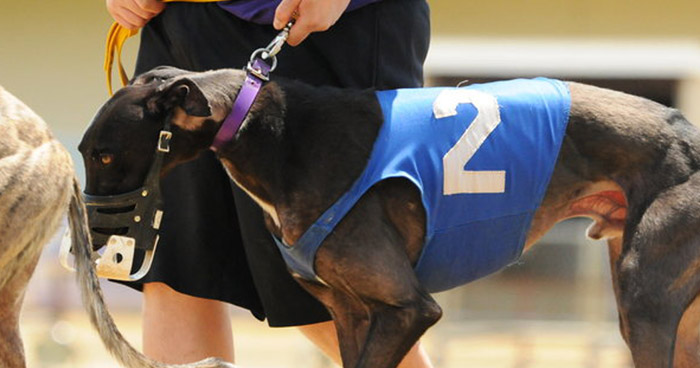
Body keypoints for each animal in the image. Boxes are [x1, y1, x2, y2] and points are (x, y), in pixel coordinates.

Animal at [79, 67, 700, 368]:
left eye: (103, 155)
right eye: (86, 152)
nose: (91, 240)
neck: (274, 130)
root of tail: (686, 131)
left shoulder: (407, 309)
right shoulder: (353, 314)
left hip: (645, 304)